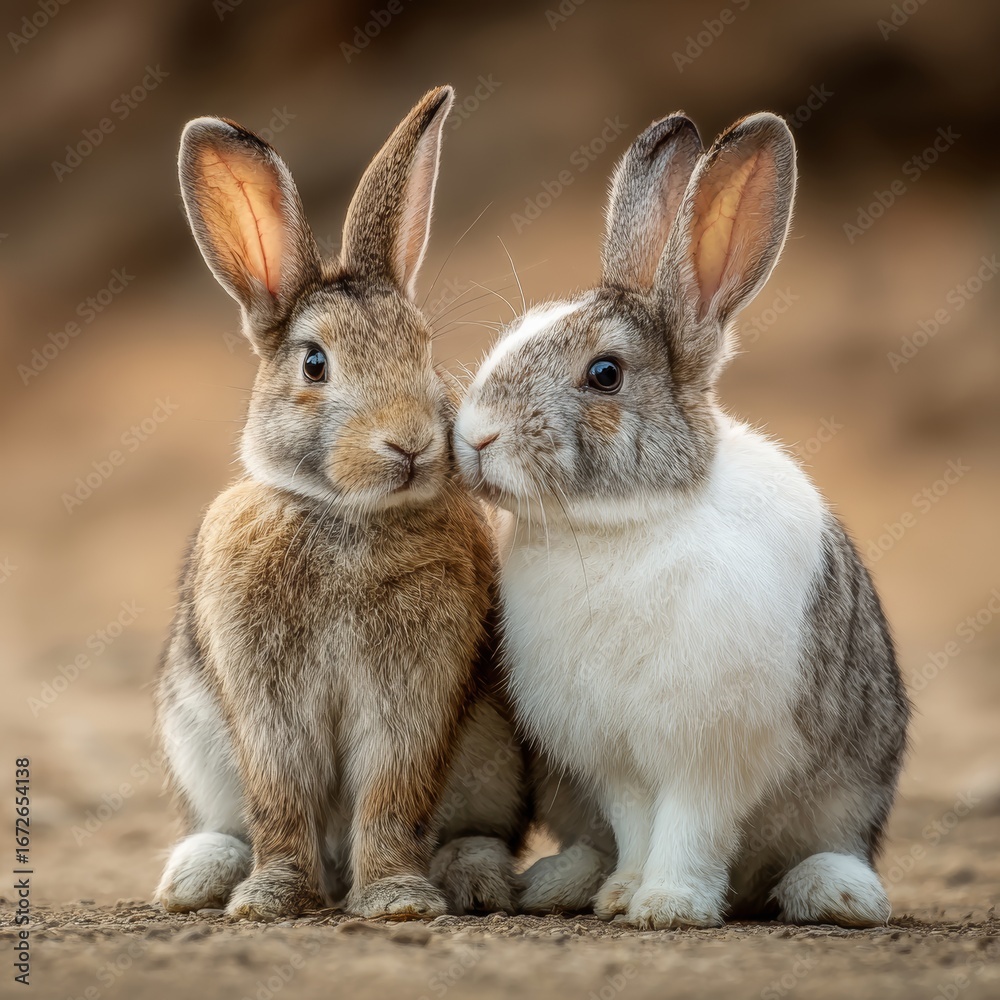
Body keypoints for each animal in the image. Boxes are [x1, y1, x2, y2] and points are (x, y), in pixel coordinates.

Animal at [153, 86, 528, 922]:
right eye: (315, 364)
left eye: (422, 347)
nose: (411, 443)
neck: (345, 517)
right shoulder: (266, 702)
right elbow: (281, 798)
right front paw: (272, 899)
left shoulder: (413, 697)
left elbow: (392, 796)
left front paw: (396, 900)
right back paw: (194, 880)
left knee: (477, 831)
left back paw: (475, 879)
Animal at [453, 111, 910, 929]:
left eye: (604, 374)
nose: (474, 436)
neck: (619, 524)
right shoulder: (617, 763)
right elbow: (639, 824)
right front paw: (625, 895)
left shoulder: (709, 755)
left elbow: (691, 828)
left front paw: (669, 905)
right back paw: (564, 882)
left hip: (850, 795)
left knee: (818, 854)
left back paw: (838, 893)